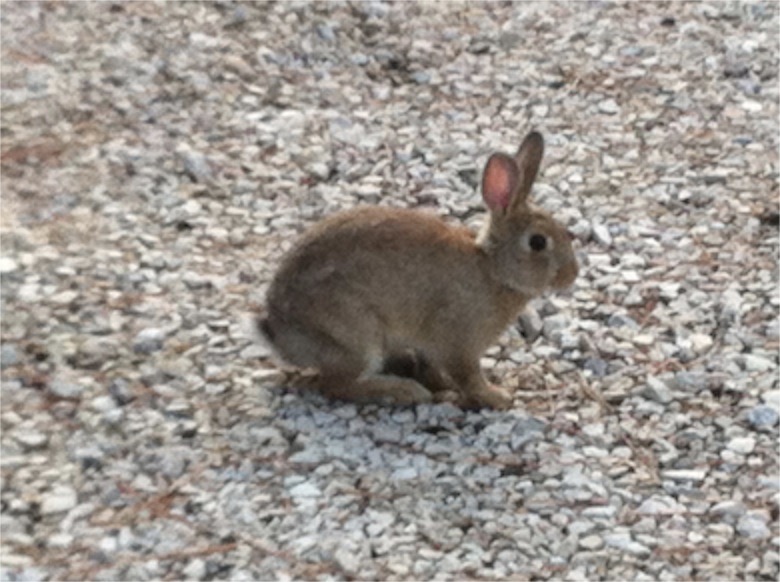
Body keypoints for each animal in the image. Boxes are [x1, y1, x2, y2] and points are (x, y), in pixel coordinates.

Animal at [258, 131, 578, 409]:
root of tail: (279, 333)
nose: (572, 274)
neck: (493, 268)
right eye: (538, 242)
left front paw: (444, 386)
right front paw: (497, 396)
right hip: (356, 336)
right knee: (337, 385)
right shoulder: (458, 342)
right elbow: (468, 377)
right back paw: (404, 391)